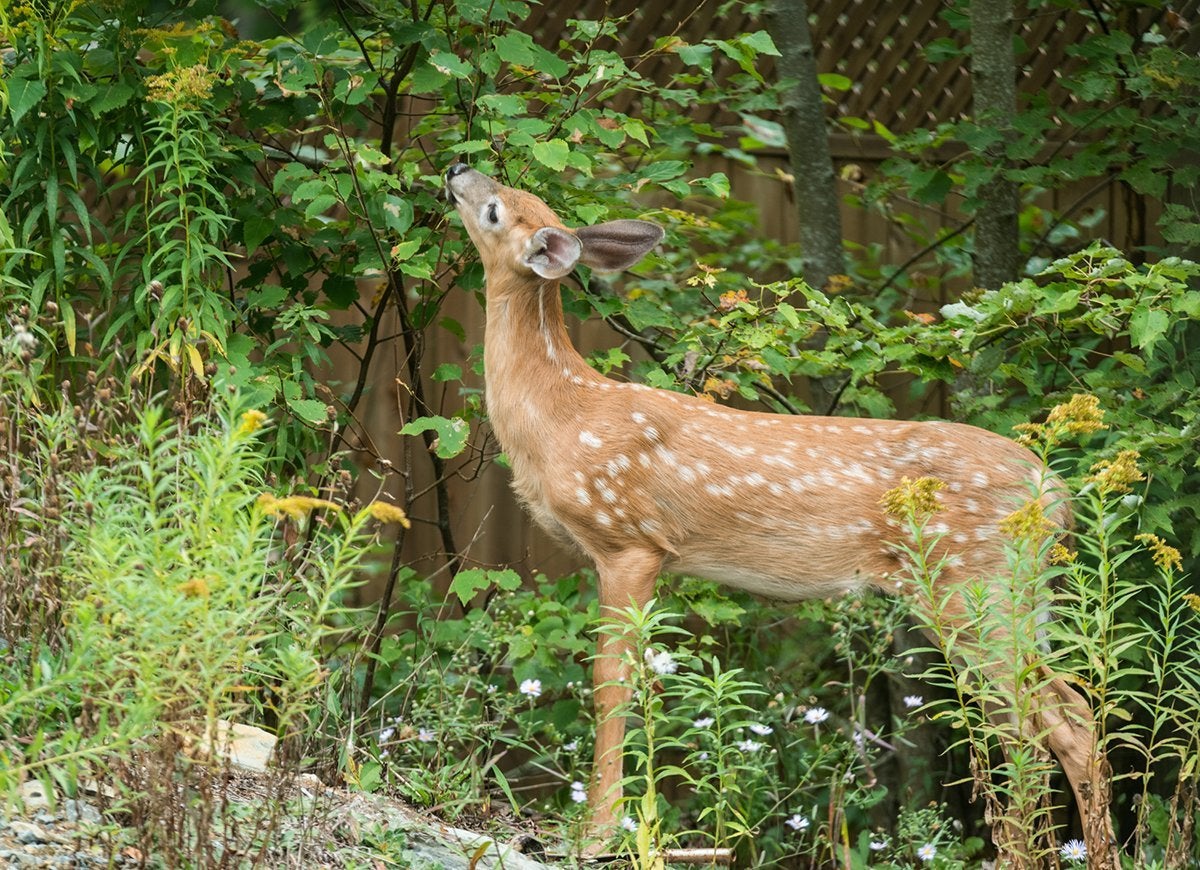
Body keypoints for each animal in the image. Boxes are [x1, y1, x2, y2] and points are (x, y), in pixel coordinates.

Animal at [448, 164, 1113, 864]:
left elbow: (612, 682)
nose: (457, 170)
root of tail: (1056, 493)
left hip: (972, 586)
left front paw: (597, 835)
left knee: (1040, 727)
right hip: (1018, 596)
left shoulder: (629, 541)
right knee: (1066, 714)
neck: (560, 414)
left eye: (495, 211)